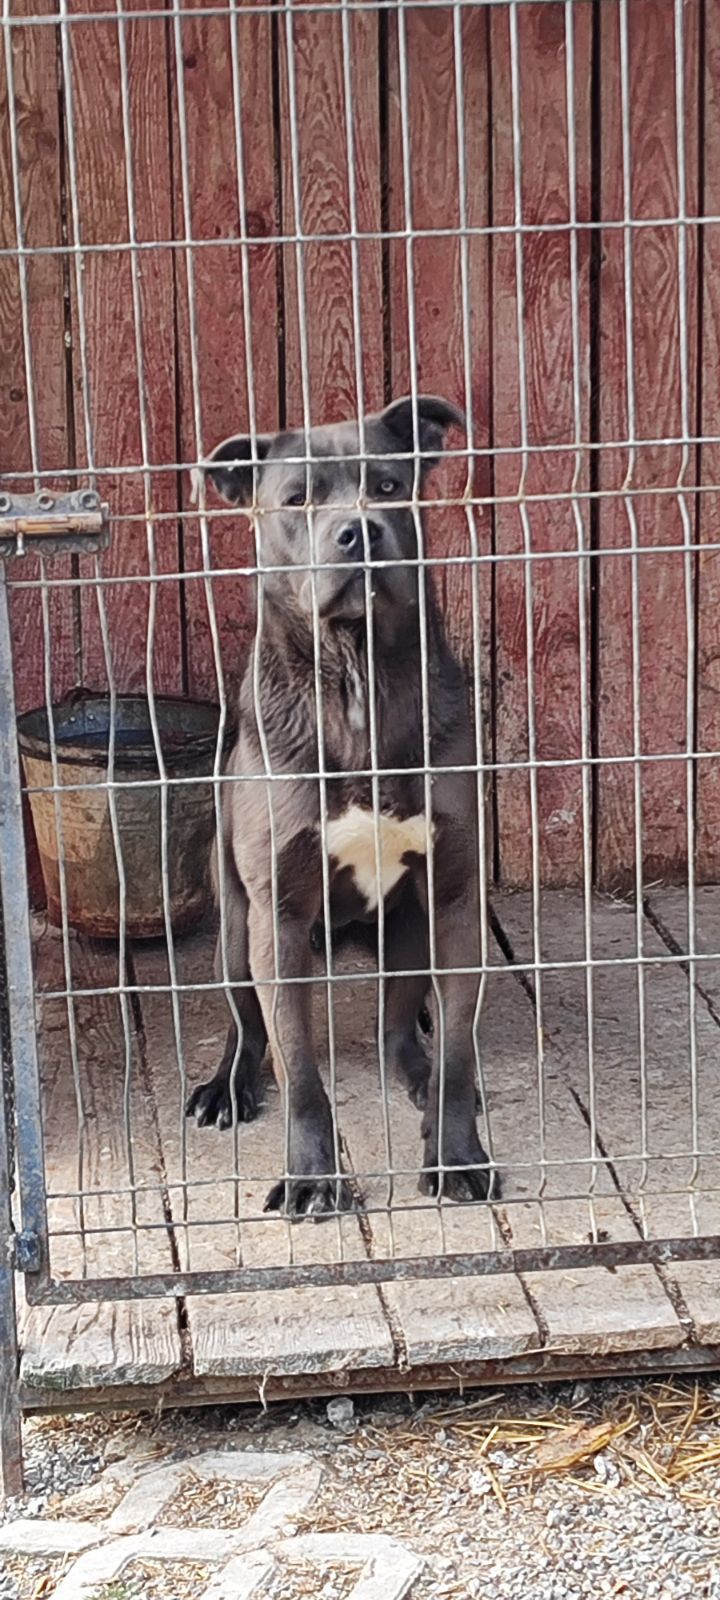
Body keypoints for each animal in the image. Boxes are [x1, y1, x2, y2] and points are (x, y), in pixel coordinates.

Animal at [188, 396, 499, 1209]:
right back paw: (226, 1086)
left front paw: (457, 1154)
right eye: (297, 499)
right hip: (235, 925)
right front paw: (310, 1177)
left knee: (399, 1025)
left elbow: (460, 1049)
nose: (359, 530)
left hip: (408, 923)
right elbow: (298, 1066)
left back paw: (417, 1068)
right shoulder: (278, 915)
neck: (355, 679)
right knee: (247, 1025)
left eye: (388, 485)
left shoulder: (452, 896)